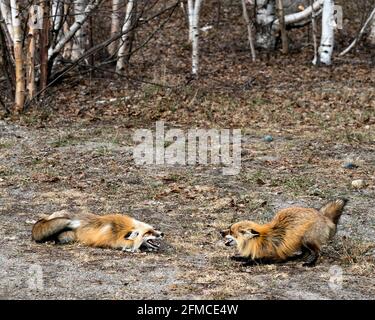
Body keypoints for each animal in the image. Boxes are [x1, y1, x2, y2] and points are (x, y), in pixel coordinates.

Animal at [30, 212, 163, 252]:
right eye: (148, 232)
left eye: (153, 229)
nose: (162, 234)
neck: (118, 230)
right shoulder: (108, 241)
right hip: (68, 236)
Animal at [220, 199, 350, 266]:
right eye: (229, 227)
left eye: (231, 231)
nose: (220, 232)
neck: (259, 240)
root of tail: (323, 216)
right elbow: (247, 257)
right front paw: (237, 257)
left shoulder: (274, 257)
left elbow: (258, 260)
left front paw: (245, 263)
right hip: (300, 241)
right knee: (304, 252)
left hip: (306, 240)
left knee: (317, 252)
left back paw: (309, 263)